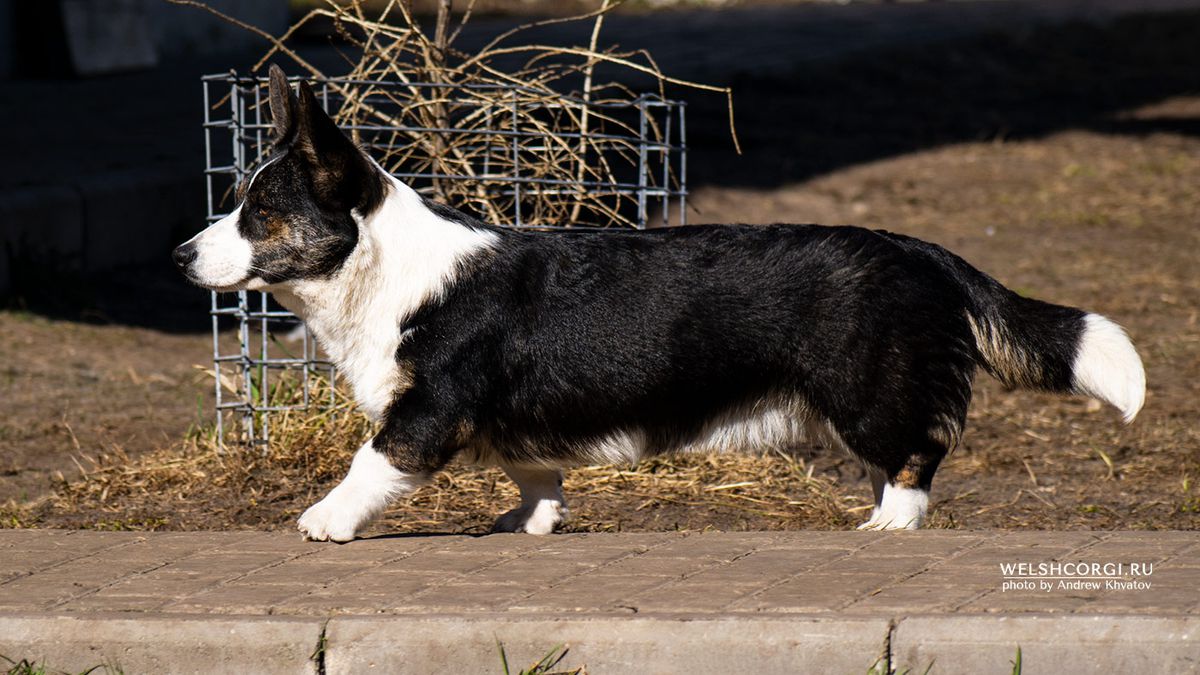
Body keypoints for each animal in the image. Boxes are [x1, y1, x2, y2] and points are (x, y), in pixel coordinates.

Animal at [171, 68, 1142, 538]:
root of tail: (920, 250)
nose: (181, 256)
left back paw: (887, 525)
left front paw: (323, 521)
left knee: (915, 459)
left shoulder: (431, 408)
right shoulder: (510, 423)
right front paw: (531, 521)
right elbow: (535, 471)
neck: (380, 270)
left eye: (260, 214)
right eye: (238, 202)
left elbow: (371, 463)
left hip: (866, 391)